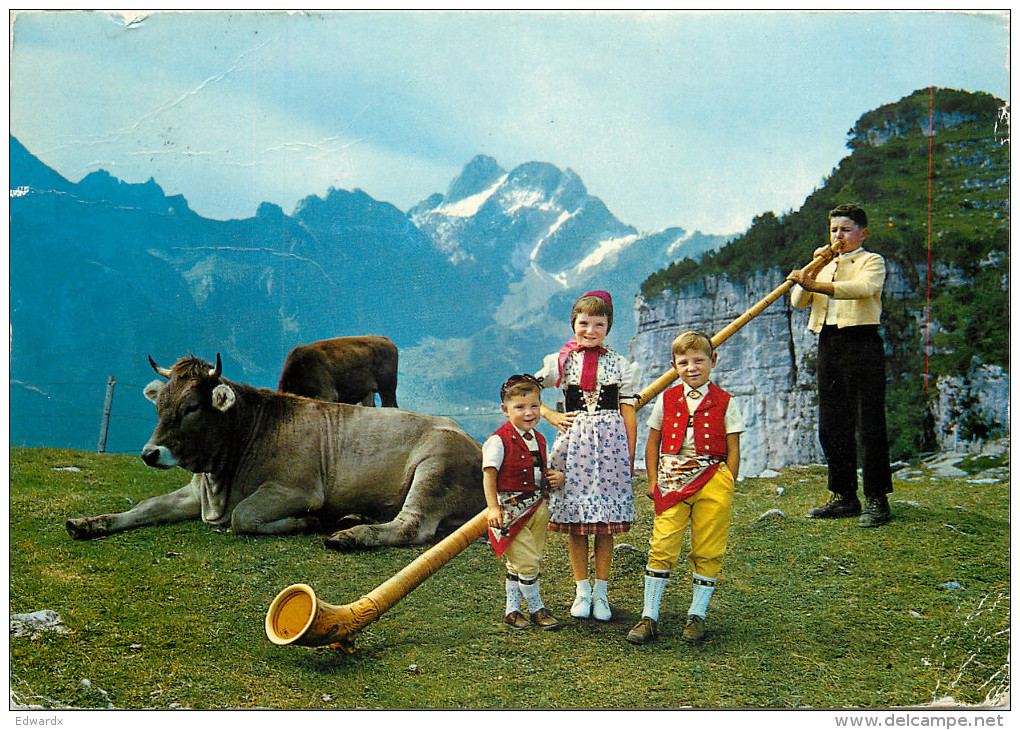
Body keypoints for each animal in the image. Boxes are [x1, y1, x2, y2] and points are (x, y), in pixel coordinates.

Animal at [64, 352, 485, 546]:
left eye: (192, 406)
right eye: (160, 404)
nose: (150, 453)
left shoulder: (298, 490)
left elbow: (244, 517)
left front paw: (306, 523)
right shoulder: (195, 492)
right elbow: (145, 507)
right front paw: (88, 523)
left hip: (435, 467)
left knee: (413, 524)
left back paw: (349, 535)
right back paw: (352, 518)